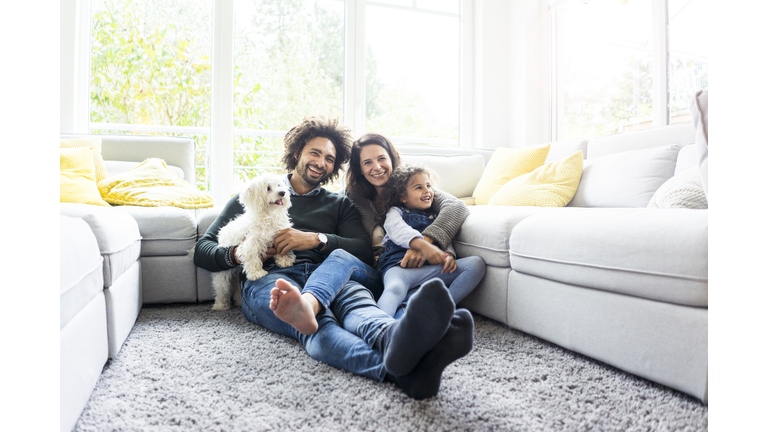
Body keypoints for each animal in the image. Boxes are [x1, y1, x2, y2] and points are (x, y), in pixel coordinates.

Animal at [213, 172, 296, 310]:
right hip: (223, 275)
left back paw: (238, 301)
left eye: (279, 185)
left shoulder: (281, 236)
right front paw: (257, 273)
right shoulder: (251, 244)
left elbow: (282, 250)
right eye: (268, 188)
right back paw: (221, 305)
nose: (283, 192)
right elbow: (252, 258)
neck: (269, 214)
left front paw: (284, 261)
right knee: (222, 288)